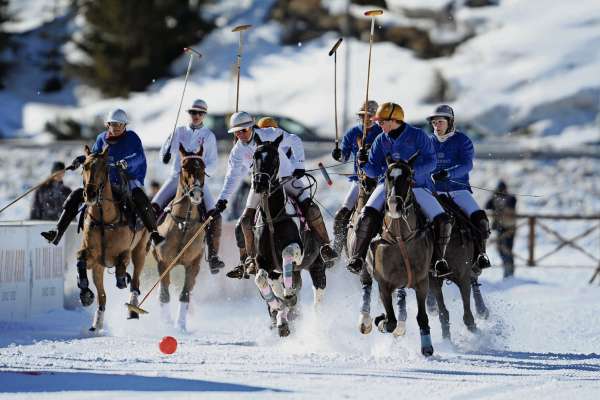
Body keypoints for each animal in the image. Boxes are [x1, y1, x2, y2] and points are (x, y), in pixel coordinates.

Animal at [77, 145, 150, 332]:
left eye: (104, 167)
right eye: (85, 166)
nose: (90, 193)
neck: (105, 220)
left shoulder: (124, 251)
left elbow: (122, 264)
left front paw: (122, 277)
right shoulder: (92, 257)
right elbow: (80, 259)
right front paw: (85, 293)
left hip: (140, 250)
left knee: (135, 281)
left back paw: (133, 309)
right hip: (98, 268)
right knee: (102, 295)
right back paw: (97, 322)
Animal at [152, 145, 209, 332]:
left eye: (203, 168)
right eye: (184, 167)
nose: (196, 194)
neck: (183, 224)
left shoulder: (193, 264)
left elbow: (185, 294)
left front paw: (180, 325)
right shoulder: (163, 263)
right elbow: (164, 294)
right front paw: (167, 323)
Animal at [250, 134, 326, 338]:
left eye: (275, 158)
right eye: (254, 156)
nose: (260, 184)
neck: (272, 218)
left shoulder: (297, 250)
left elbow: (287, 253)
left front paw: (288, 299)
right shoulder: (262, 261)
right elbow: (261, 279)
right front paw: (280, 309)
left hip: (316, 265)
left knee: (317, 300)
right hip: (284, 272)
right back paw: (282, 320)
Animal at [358, 154, 434, 356]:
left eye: (409, 178)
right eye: (387, 176)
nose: (393, 205)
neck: (400, 237)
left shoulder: (422, 281)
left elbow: (422, 316)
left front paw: (427, 346)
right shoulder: (384, 283)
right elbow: (390, 321)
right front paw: (381, 321)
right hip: (364, 267)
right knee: (366, 286)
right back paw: (366, 320)